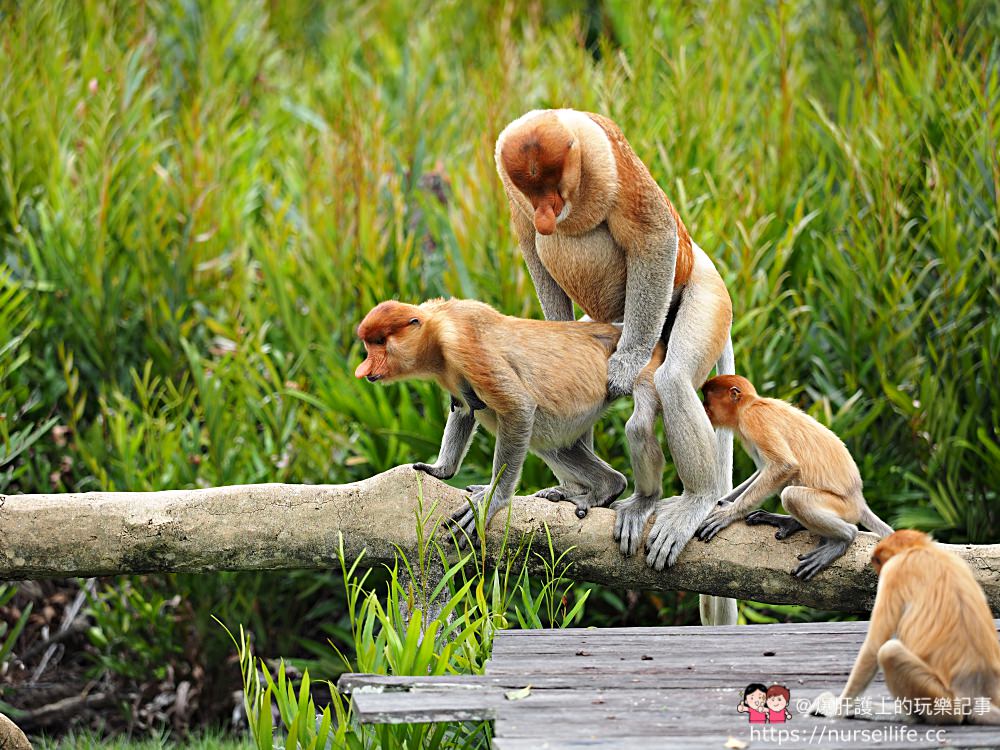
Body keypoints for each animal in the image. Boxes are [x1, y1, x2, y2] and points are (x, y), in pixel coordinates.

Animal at [356, 296, 668, 548]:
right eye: (369, 344)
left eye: (380, 342)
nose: (364, 369)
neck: (437, 326)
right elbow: (464, 410)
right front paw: (440, 470)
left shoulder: (465, 346)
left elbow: (518, 407)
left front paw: (492, 499)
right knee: (551, 445)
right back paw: (607, 486)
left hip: (631, 372)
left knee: (637, 425)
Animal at [496, 107, 740, 624]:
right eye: (531, 192)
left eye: (553, 186)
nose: (546, 216)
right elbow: (530, 246)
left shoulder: (609, 159)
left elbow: (653, 235)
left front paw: (625, 368)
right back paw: (576, 491)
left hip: (704, 295)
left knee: (673, 377)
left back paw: (692, 501)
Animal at [696, 376, 892, 580]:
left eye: (707, 398)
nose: (703, 406)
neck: (749, 404)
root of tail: (858, 500)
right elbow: (765, 469)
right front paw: (721, 501)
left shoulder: (753, 419)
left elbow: (784, 465)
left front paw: (727, 514)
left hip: (842, 507)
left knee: (792, 495)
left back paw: (843, 538)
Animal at [812, 532, 1000, 724]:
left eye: (880, 562)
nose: (877, 572)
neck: (921, 550)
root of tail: (975, 693)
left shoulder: (893, 572)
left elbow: (874, 645)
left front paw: (835, 709)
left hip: (943, 700)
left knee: (889, 652)